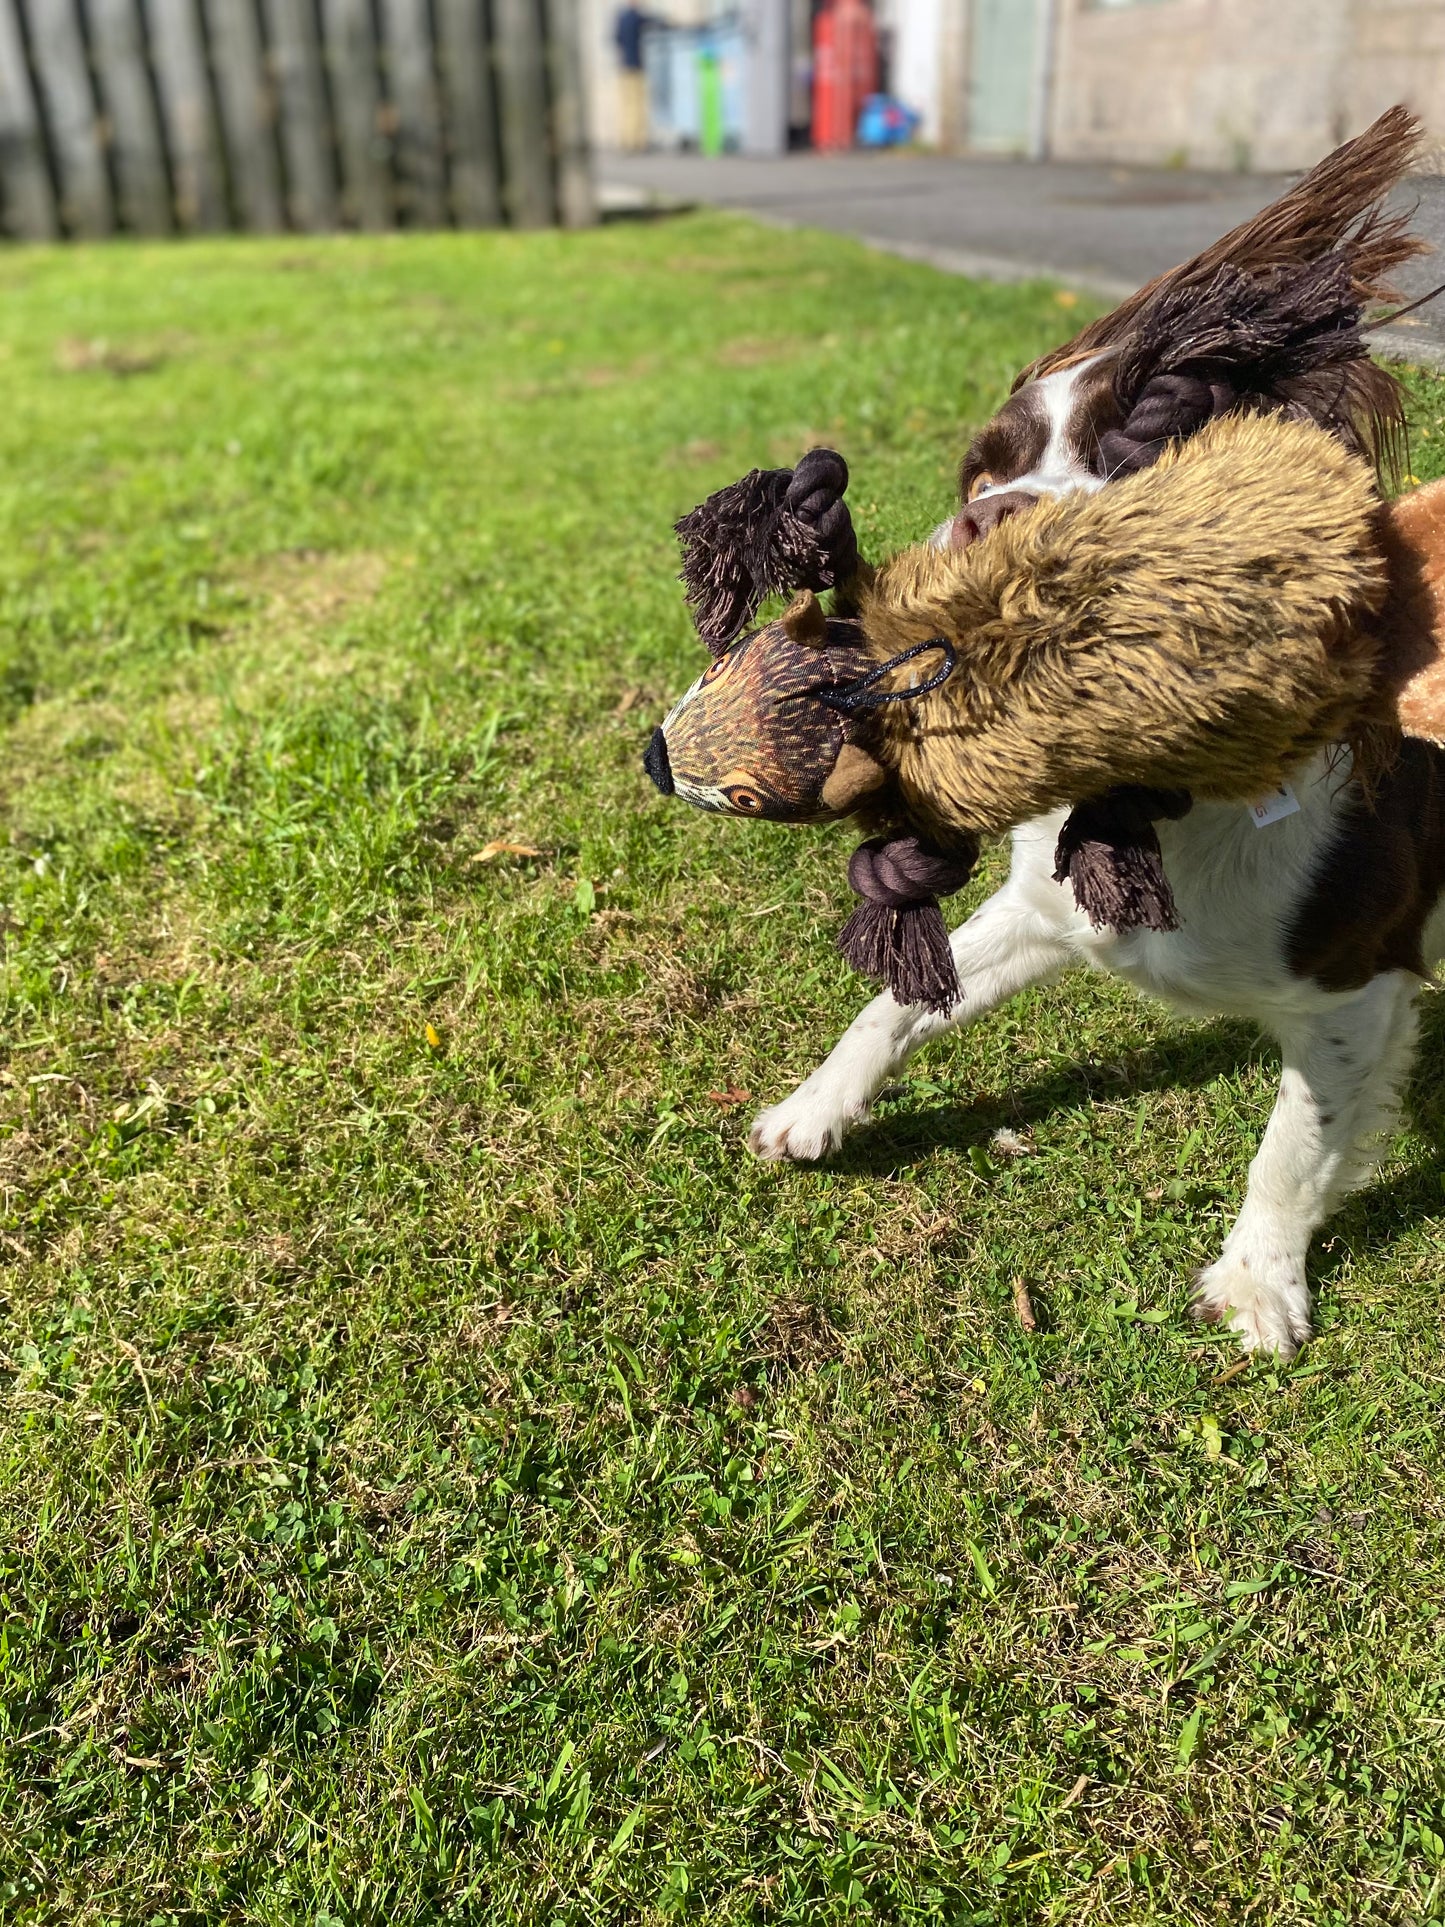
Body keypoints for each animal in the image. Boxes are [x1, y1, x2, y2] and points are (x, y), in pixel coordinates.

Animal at [751, 105, 1441, 1356]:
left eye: (1152, 451)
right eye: (980, 470)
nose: (990, 519)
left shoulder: (1356, 987)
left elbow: (1294, 1142)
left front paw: (1258, 1282)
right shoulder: (1042, 911)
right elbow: (896, 998)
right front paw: (813, 1110)